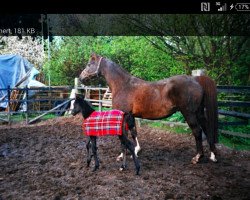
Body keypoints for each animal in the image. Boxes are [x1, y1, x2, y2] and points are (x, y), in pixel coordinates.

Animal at [79, 53, 218, 164]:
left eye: (89, 64)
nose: (81, 77)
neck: (123, 85)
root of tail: (195, 79)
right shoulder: (131, 115)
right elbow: (134, 132)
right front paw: (136, 150)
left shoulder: (125, 114)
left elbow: (126, 135)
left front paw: (122, 155)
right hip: (199, 112)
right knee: (206, 128)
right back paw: (213, 155)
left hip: (189, 114)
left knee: (197, 131)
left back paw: (198, 157)